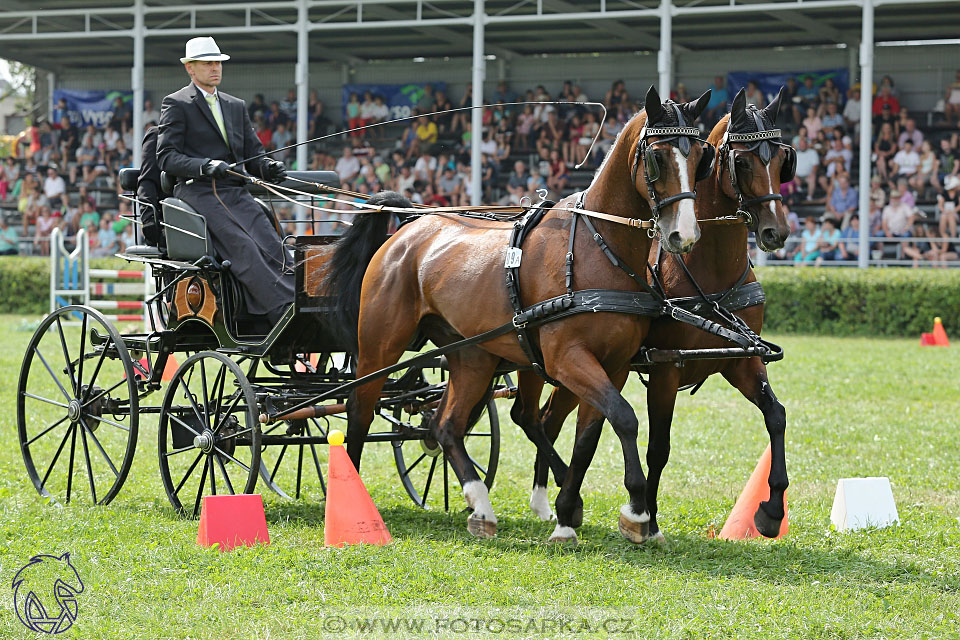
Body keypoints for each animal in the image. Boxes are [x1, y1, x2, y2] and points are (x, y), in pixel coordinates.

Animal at [328, 84, 712, 536]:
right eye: (657, 157)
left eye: (701, 158)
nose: (684, 235)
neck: (598, 249)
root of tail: (409, 226)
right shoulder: (567, 359)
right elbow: (624, 417)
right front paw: (634, 509)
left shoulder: (613, 364)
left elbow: (593, 432)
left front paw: (570, 510)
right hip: (380, 347)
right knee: (360, 410)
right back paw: (354, 504)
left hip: (471, 354)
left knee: (446, 424)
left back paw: (480, 505)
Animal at [516, 87, 796, 544]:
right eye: (741, 161)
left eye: (783, 160)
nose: (776, 232)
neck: (710, 271)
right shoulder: (666, 368)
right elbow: (658, 448)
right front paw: (646, 518)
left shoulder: (740, 360)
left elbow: (776, 416)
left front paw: (771, 510)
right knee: (532, 417)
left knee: (548, 420)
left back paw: (550, 500)